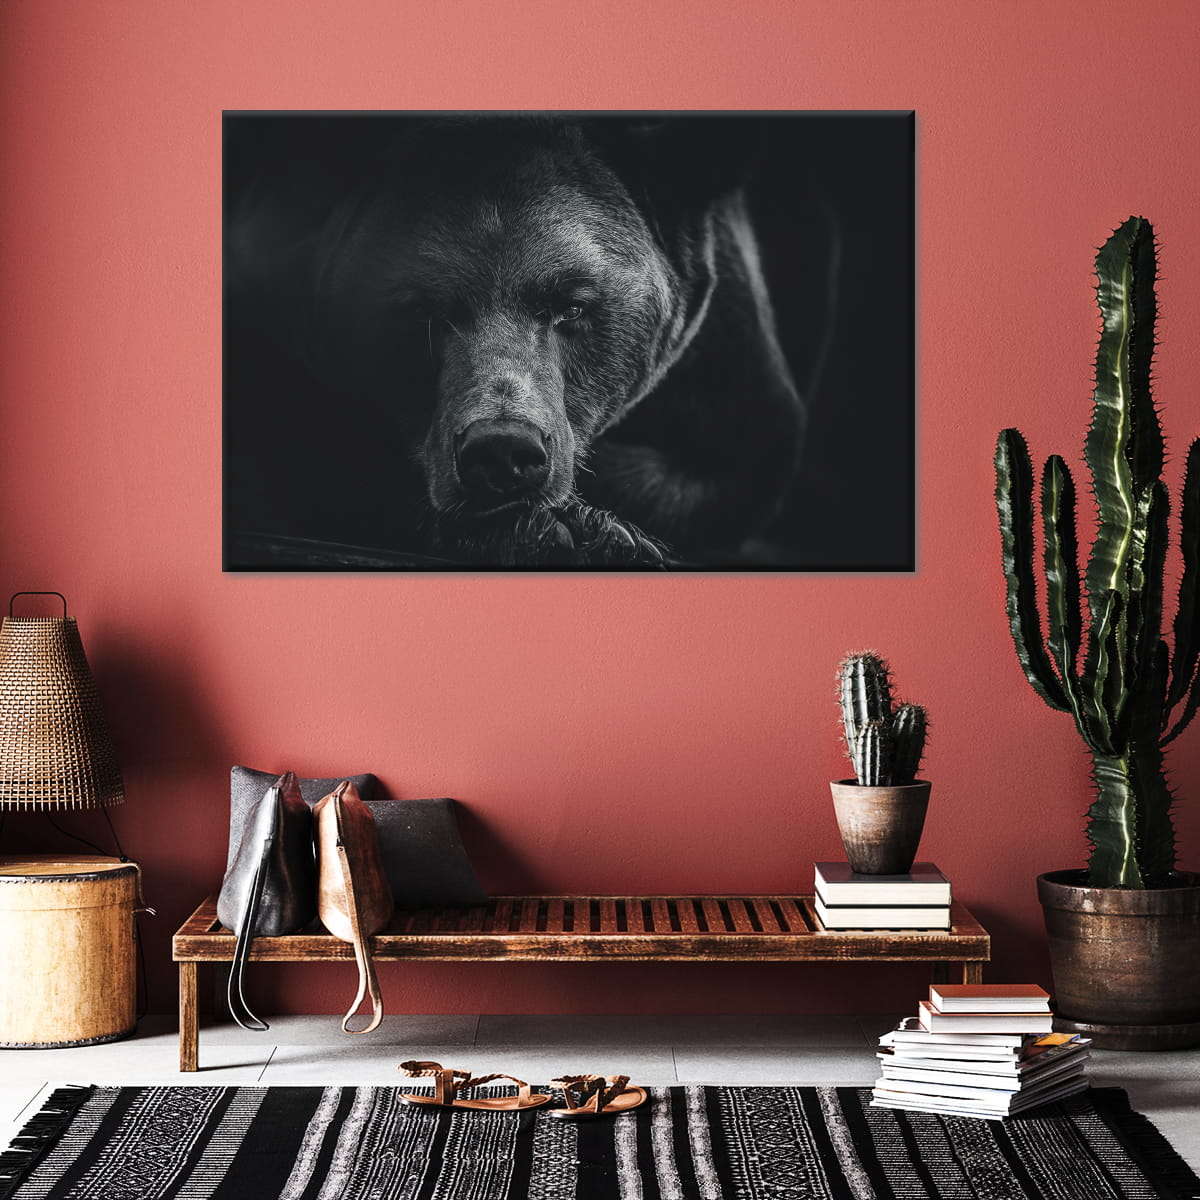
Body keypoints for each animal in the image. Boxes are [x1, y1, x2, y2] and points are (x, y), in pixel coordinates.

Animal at [224, 115, 806, 568]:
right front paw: (555, 530)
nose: (502, 450)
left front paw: (596, 529)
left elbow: (722, 466)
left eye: (572, 306)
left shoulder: (727, 363)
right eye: (425, 314)